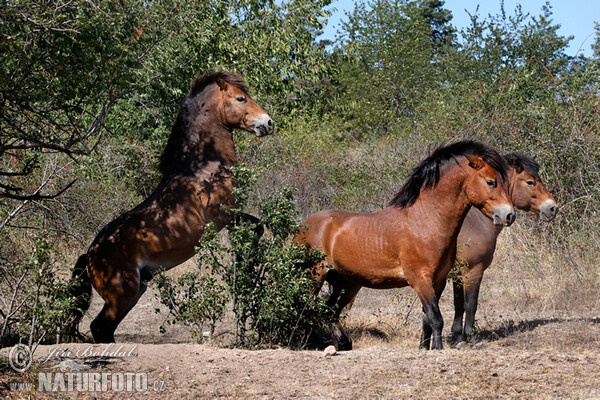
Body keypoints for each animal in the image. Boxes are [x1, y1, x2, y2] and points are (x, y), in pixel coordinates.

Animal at [69, 70, 274, 342]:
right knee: (99, 327)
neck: (203, 167)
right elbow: (257, 226)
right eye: (241, 98)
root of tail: (91, 254)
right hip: (123, 294)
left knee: (105, 328)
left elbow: (256, 227)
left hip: (136, 291)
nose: (269, 123)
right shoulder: (222, 216)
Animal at [296, 141, 516, 350]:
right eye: (490, 182)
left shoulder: (438, 281)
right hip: (314, 277)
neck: (426, 220)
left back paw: (343, 344)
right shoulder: (420, 279)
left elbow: (427, 318)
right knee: (306, 308)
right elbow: (436, 317)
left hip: (347, 282)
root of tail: (304, 225)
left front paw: (423, 347)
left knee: (329, 311)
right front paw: (437, 348)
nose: (509, 215)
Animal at [450, 152, 556, 346]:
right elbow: (471, 303)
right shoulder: (473, 272)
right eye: (530, 182)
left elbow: (459, 303)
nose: (553, 208)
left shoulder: (458, 274)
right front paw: (472, 336)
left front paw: (458, 337)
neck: (474, 221)